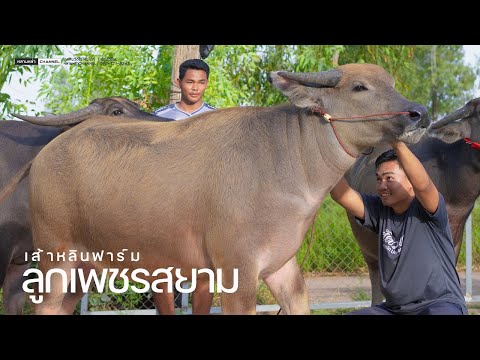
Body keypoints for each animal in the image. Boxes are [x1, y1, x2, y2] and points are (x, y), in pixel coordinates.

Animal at [22, 64, 430, 316]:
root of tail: (46, 154)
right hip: (54, 257)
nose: (419, 113)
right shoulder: (237, 270)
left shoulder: (282, 267)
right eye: (360, 87)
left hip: (83, 268)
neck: (287, 160)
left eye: (393, 85)